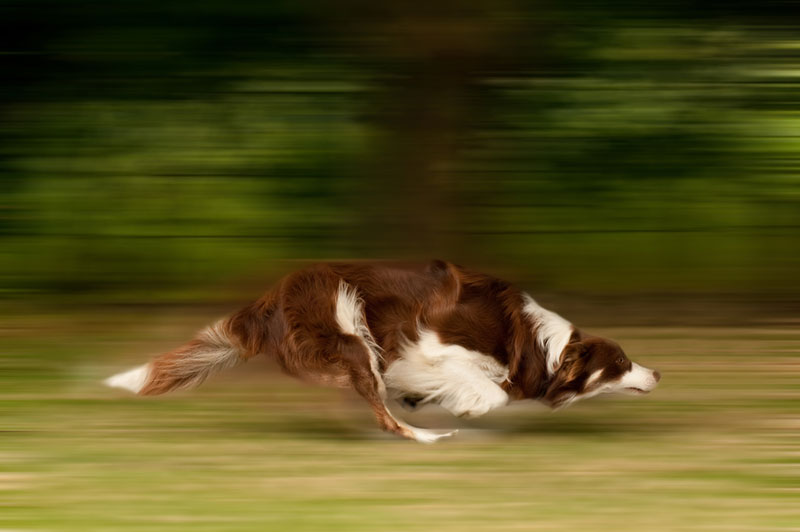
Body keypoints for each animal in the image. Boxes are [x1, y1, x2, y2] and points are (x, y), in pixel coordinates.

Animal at [103, 260, 660, 440]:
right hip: (351, 331)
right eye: (622, 363)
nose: (658, 373)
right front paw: (466, 406)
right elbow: (489, 391)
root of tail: (268, 299)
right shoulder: (432, 350)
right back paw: (427, 435)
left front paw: (429, 398)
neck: (543, 345)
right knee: (381, 411)